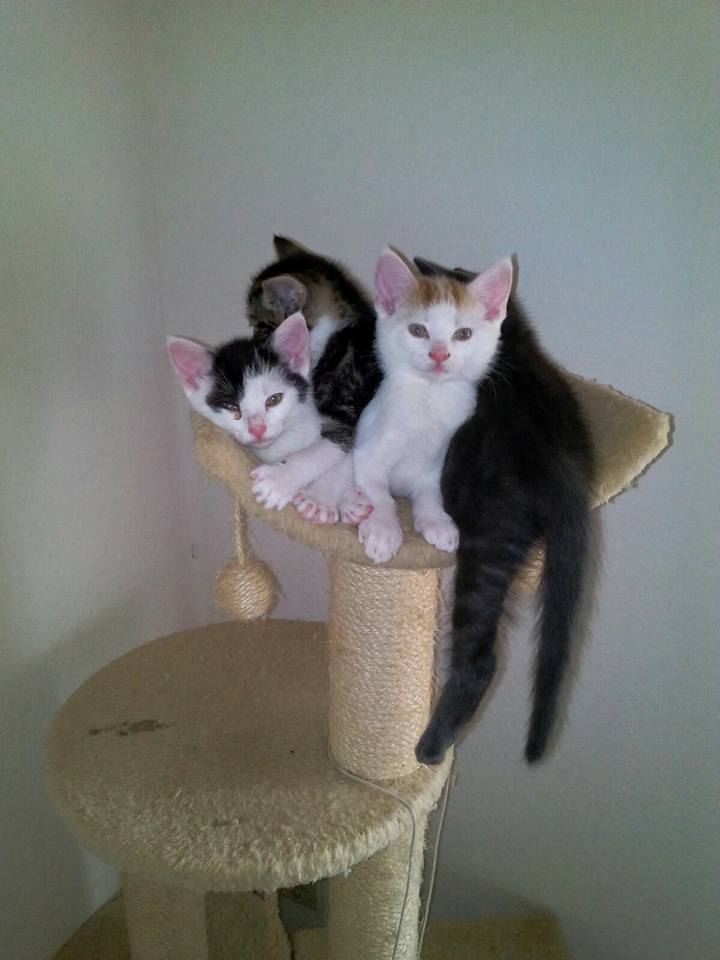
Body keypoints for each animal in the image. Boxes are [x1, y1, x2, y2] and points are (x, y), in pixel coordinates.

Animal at [246, 236, 380, 524]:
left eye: (259, 327)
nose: (250, 345)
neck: (334, 336)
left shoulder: (348, 408)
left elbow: (329, 452)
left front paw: (306, 493)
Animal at [353, 249, 513, 565]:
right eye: (418, 330)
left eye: (463, 334)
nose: (439, 354)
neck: (430, 396)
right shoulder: (364, 456)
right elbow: (379, 494)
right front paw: (383, 529)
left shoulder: (434, 464)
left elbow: (430, 495)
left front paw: (437, 521)